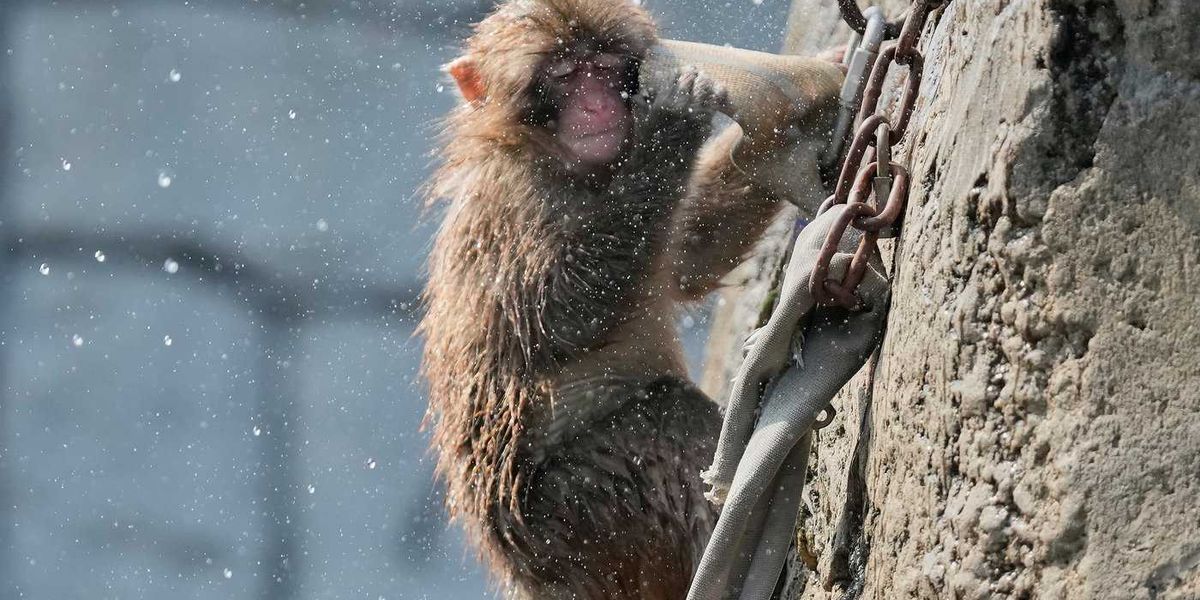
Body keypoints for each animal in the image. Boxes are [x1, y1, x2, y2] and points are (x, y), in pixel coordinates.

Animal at [419, 1, 840, 598]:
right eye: (565, 75)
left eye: (605, 66)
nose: (598, 105)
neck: (571, 169)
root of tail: (526, 571)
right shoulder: (516, 207)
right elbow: (555, 316)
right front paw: (673, 121)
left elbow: (686, 257)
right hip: (576, 519)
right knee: (664, 418)